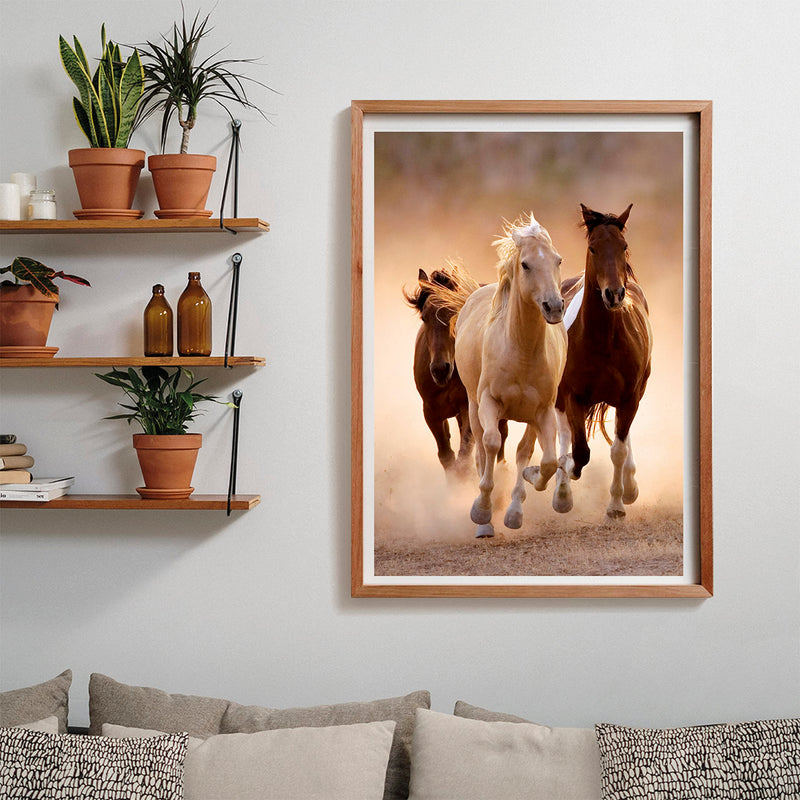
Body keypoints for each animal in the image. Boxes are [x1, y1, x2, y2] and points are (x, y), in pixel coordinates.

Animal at [403, 264, 482, 473]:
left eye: (454, 312)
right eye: (424, 317)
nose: (440, 370)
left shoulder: (468, 407)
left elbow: (464, 457)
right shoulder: (431, 412)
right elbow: (447, 456)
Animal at [454, 214, 567, 538]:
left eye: (557, 260)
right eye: (526, 264)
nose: (554, 307)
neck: (522, 351)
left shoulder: (542, 412)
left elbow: (544, 460)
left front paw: (521, 499)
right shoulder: (489, 402)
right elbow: (491, 445)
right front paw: (481, 511)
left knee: (521, 451)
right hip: (473, 406)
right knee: (481, 450)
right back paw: (485, 522)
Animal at [554, 203, 653, 519]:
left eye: (624, 246)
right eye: (593, 248)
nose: (614, 294)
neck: (603, 341)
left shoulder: (629, 397)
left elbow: (618, 449)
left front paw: (617, 504)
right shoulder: (573, 396)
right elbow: (579, 451)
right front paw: (567, 475)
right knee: (564, 434)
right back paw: (561, 492)